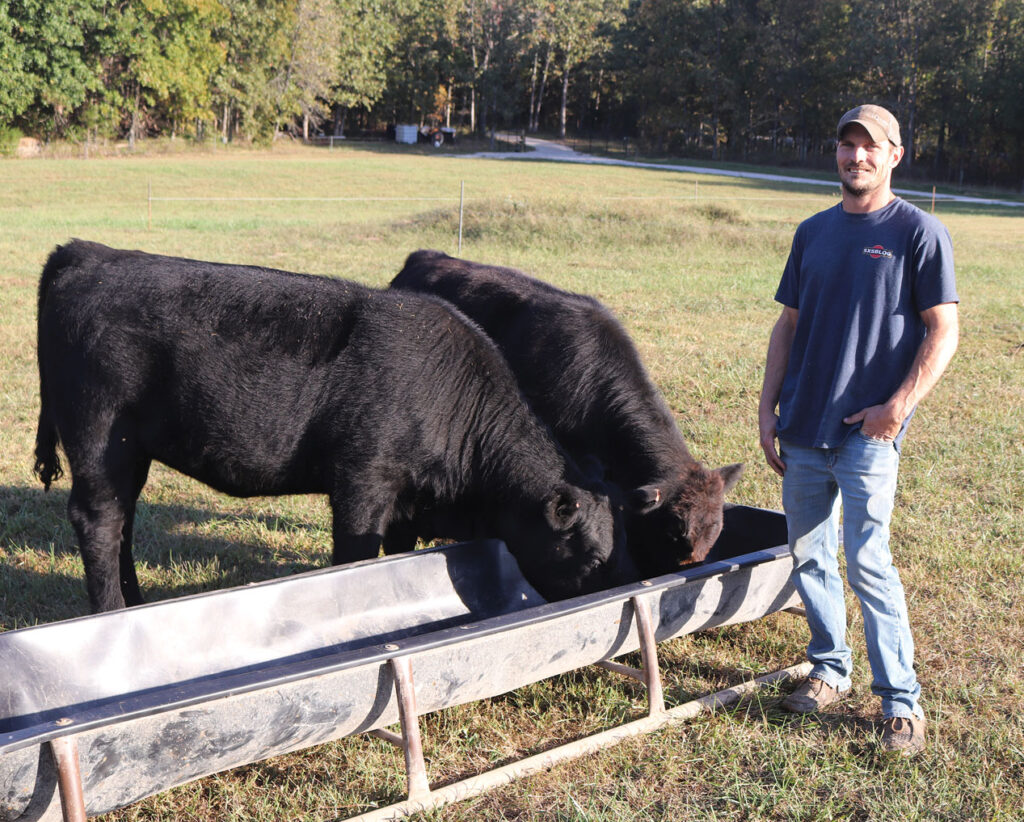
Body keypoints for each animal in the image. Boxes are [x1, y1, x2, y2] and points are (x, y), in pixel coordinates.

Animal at [36, 237, 626, 610]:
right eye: (594, 556)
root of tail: (86, 253)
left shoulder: (407, 501)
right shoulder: (363, 480)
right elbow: (355, 555)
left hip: (129, 451)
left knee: (123, 522)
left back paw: (135, 603)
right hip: (100, 436)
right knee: (99, 522)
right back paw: (113, 611)